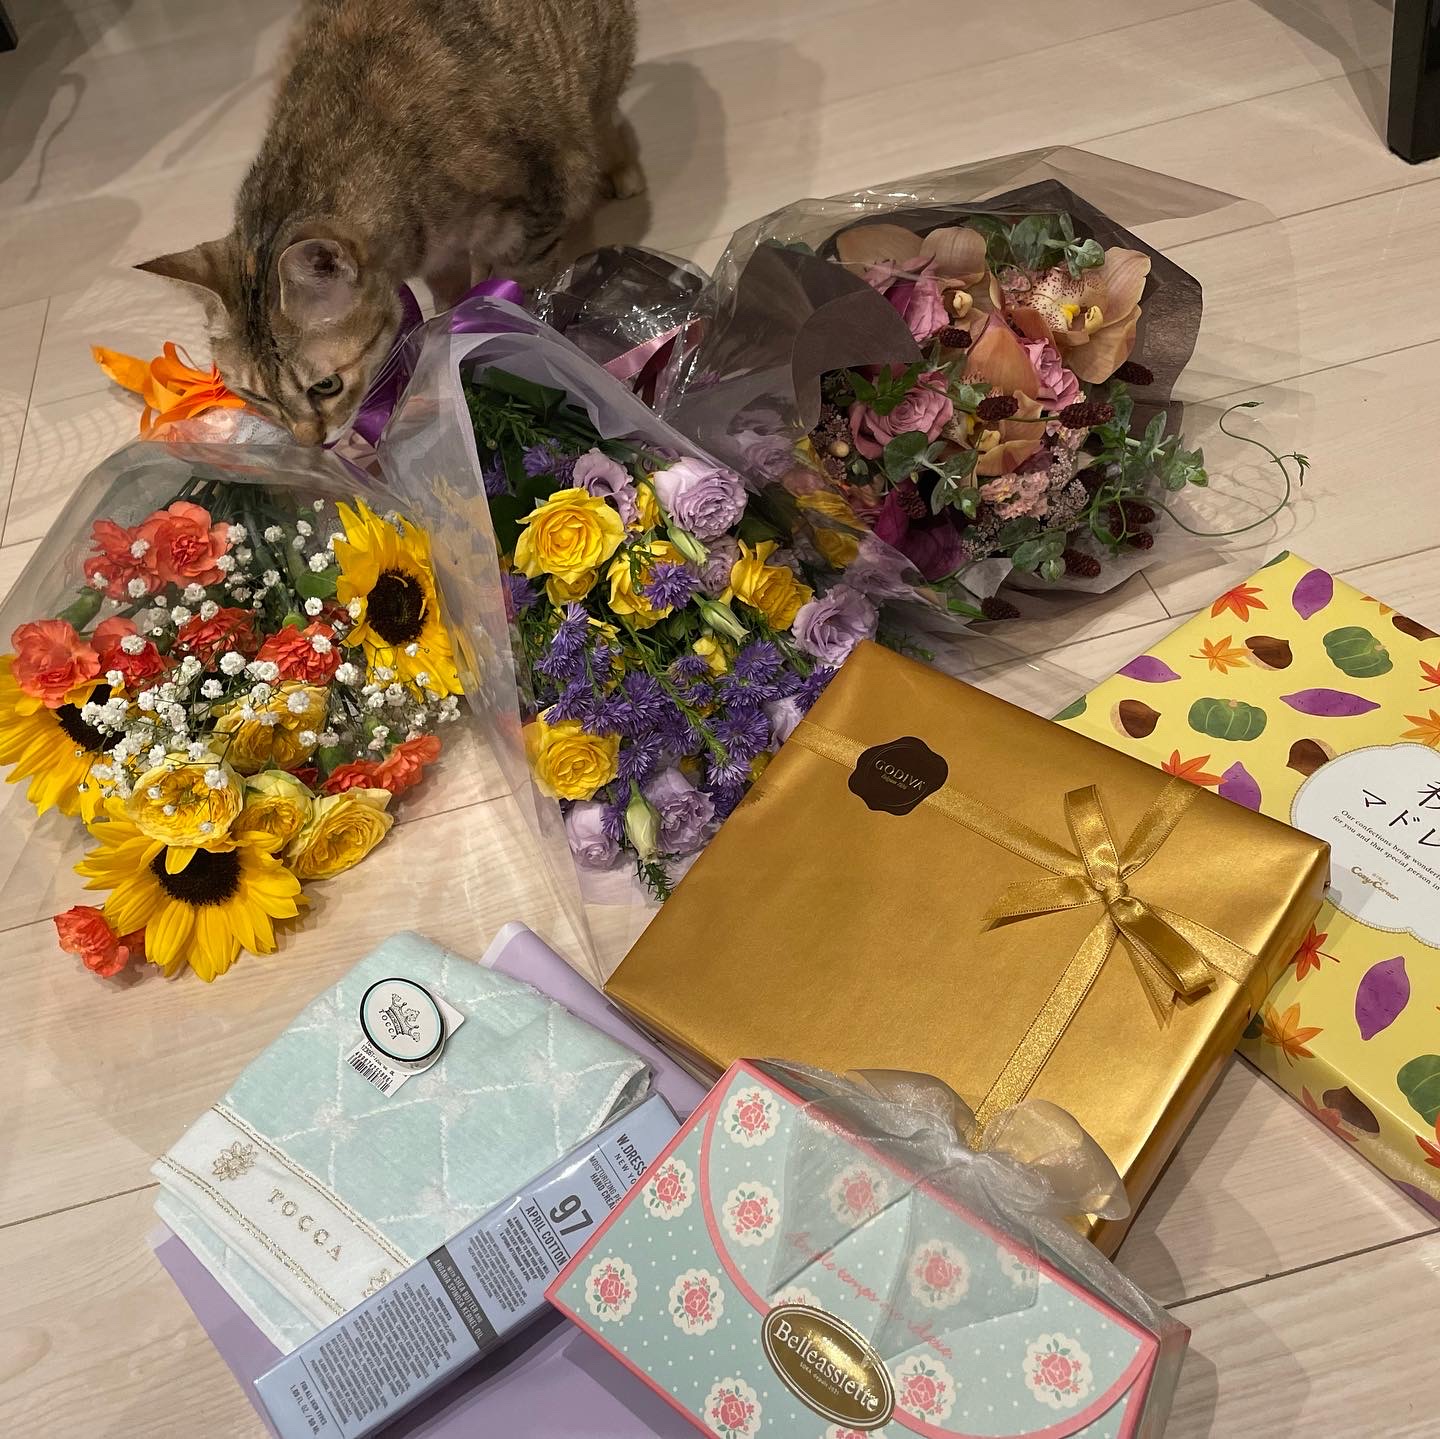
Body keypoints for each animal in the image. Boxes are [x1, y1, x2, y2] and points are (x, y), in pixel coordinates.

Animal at [136, 0, 642, 445]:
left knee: (608, 117)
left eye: (327, 386)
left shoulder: (534, 223)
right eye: (254, 396)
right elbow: (451, 297)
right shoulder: (441, 257)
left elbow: (522, 299)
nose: (308, 444)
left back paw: (623, 170)